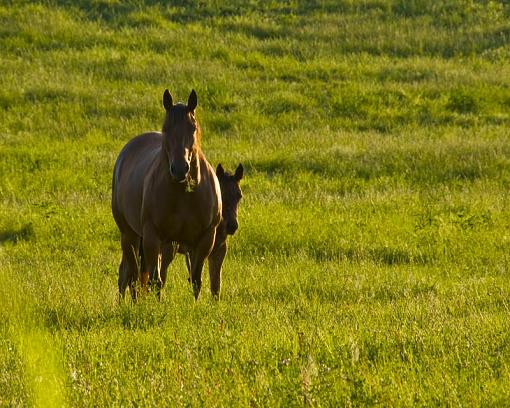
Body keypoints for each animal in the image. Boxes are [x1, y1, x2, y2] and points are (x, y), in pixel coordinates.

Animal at [111, 89, 221, 300]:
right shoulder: (153, 237)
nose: (179, 169)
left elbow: (196, 280)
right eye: (166, 128)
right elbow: (155, 281)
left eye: (193, 128)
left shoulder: (205, 239)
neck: (184, 195)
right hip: (130, 236)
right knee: (131, 277)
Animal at [148, 163, 244, 294]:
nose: (232, 226)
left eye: (239, 195)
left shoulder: (218, 251)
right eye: (222, 194)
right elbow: (194, 280)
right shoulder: (193, 251)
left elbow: (215, 285)